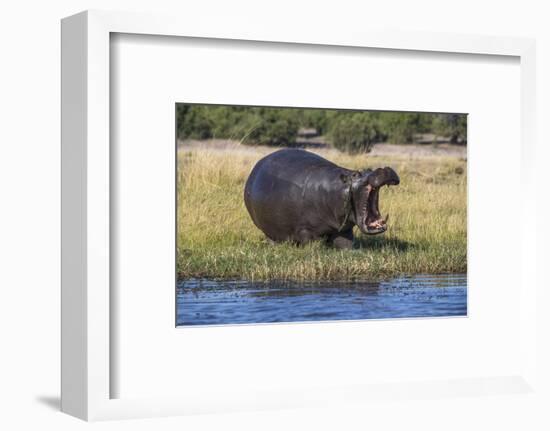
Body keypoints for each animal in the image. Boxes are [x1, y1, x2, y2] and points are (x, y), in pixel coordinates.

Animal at [246, 148, 402, 250]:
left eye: (369, 169)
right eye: (356, 174)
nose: (383, 168)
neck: (338, 189)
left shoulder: (343, 230)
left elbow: (346, 245)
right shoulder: (305, 229)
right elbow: (311, 244)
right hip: (267, 230)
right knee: (272, 238)